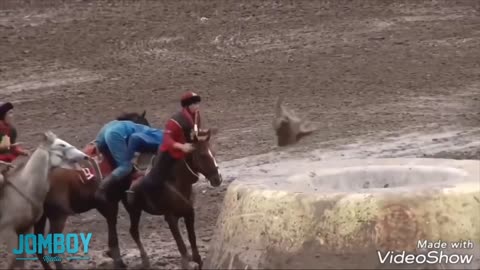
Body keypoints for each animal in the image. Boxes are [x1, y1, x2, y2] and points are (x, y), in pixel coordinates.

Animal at [0, 130, 88, 268]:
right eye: (61, 144)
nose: (85, 156)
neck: (24, 188)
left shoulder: (24, 229)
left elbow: (20, 259)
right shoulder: (7, 230)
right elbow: (14, 259)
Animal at [34, 110, 152, 268]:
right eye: (145, 124)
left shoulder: (105, 205)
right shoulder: (117, 202)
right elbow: (124, 230)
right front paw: (124, 259)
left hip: (41, 219)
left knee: (39, 248)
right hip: (58, 217)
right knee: (51, 248)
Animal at [124, 128, 221, 270]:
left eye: (213, 153)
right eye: (202, 155)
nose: (218, 179)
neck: (177, 184)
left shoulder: (189, 214)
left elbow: (193, 241)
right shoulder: (171, 218)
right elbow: (181, 246)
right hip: (134, 211)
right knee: (133, 231)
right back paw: (144, 260)